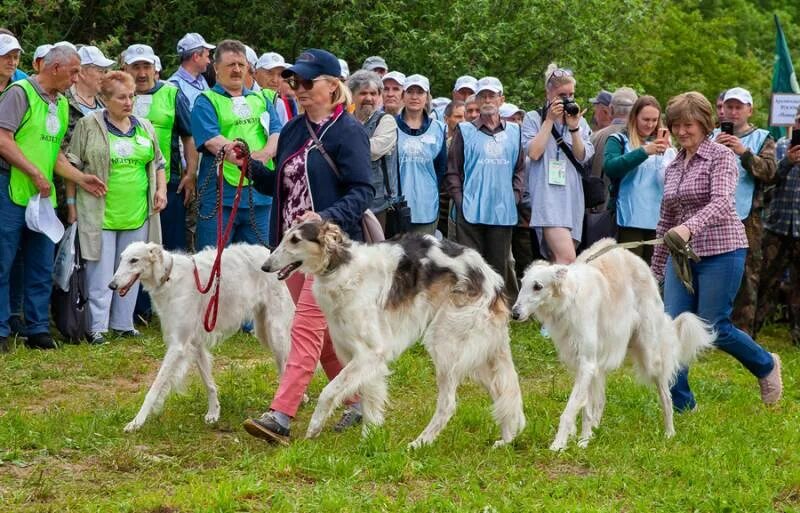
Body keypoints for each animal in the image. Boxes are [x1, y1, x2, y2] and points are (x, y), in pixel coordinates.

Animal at [108, 242, 292, 430]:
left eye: (134, 260)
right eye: (121, 258)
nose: (111, 285)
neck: (169, 277)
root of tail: (268, 252)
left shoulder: (178, 345)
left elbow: (154, 388)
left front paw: (136, 422)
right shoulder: (195, 343)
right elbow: (208, 383)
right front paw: (214, 413)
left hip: (276, 333)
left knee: (287, 368)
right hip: (263, 331)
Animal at [260, 220, 528, 448]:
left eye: (295, 239)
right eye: (284, 236)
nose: (265, 266)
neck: (342, 267)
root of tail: (494, 281)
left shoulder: (371, 353)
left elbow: (329, 392)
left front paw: (314, 428)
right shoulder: (358, 355)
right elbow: (369, 400)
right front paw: (368, 442)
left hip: (445, 342)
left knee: (449, 405)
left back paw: (420, 442)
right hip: (478, 354)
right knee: (503, 393)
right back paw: (505, 440)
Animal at [510, 238, 716, 450]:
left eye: (537, 286)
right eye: (522, 284)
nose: (514, 314)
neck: (570, 298)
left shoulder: (587, 362)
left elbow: (571, 409)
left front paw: (559, 444)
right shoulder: (582, 364)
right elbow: (584, 407)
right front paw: (583, 439)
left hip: (650, 355)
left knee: (666, 396)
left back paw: (669, 432)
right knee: (600, 401)